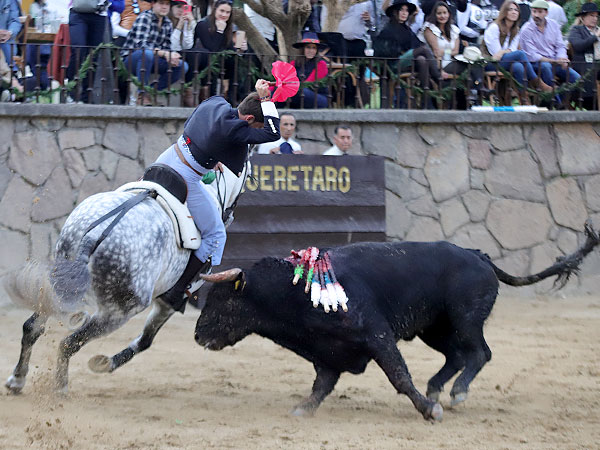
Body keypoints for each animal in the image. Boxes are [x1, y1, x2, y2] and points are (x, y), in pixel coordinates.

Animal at [4, 163, 248, 394]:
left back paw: (17, 380)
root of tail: (96, 234)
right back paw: (60, 387)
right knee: (69, 343)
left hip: (58, 281)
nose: (231, 215)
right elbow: (146, 341)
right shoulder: (170, 302)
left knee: (33, 327)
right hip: (120, 311)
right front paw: (104, 364)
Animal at [195, 225, 596, 422]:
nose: (198, 336)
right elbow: (320, 386)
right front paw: (302, 411)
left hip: (465, 318)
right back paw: (437, 388)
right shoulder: (327, 354)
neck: (295, 292)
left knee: (479, 353)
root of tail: (478, 255)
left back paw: (455, 394)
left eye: (221, 300)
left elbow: (399, 377)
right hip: (433, 329)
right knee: (457, 356)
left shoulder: (377, 336)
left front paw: (428, 411)